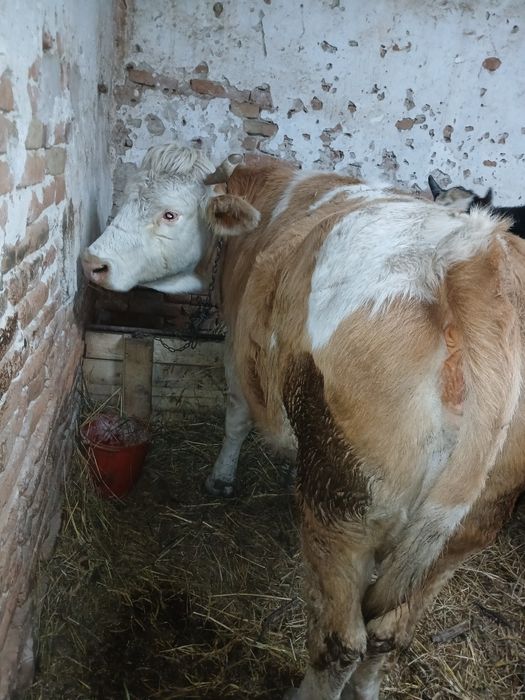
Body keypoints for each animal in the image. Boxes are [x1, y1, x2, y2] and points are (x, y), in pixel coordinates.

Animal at [82, 145, 525, 700]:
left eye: (169, 213)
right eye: (126, 198)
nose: (93, 263)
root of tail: (470, 256)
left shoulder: (235, 348)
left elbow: (236, 416)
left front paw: (221, 477)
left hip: (341, 505)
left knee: (342, 643)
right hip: (464, 531)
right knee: (389, 631)